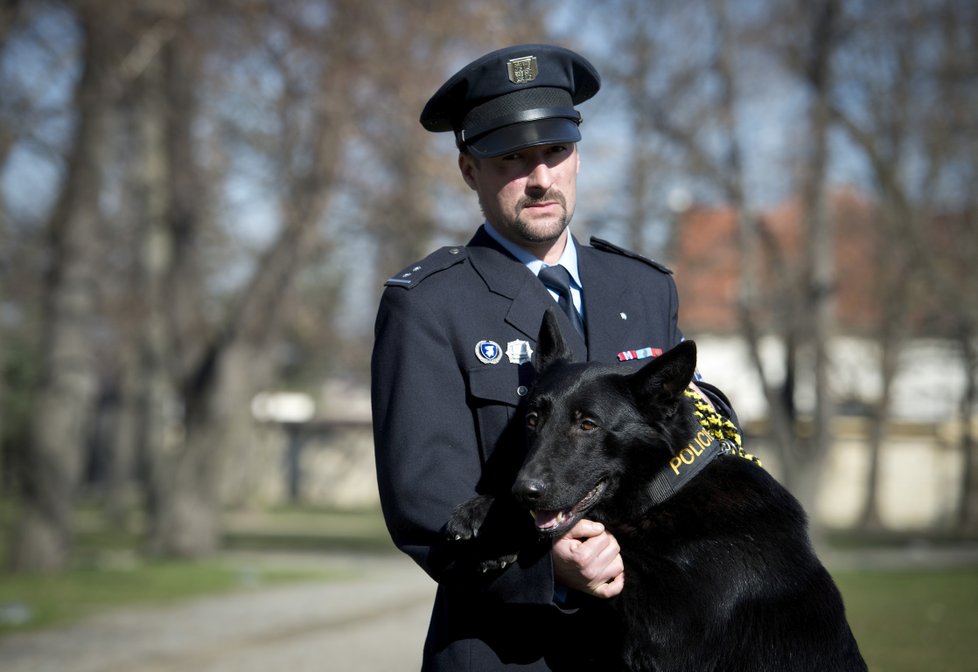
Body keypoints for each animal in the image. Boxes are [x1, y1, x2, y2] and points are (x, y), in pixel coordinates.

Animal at [446, 310, 864, 672]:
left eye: (587, 425)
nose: (523, 492)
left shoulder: (665, 633)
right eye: (532, 420)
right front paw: (485, 513)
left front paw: (502, 530)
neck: (668, 489)